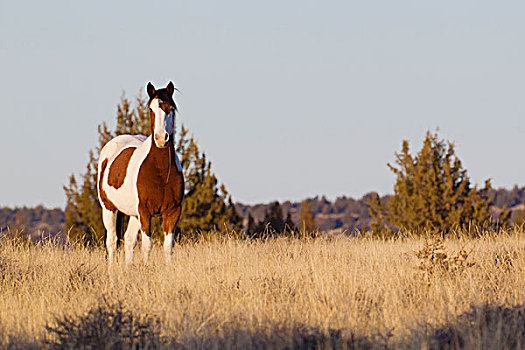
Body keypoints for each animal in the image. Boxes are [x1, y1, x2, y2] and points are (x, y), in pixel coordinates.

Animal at [97, 82, 185, 268]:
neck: (160, 173)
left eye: (171, 108)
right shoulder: (145, 211)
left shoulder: (173, 211)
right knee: (112, 241)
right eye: (151, 109)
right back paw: (111, 272)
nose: (161, 138)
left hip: (133, 214)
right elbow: (147, 244)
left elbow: (168, 246)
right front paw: (146, 268)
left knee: (129, 241)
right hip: (109, 209)